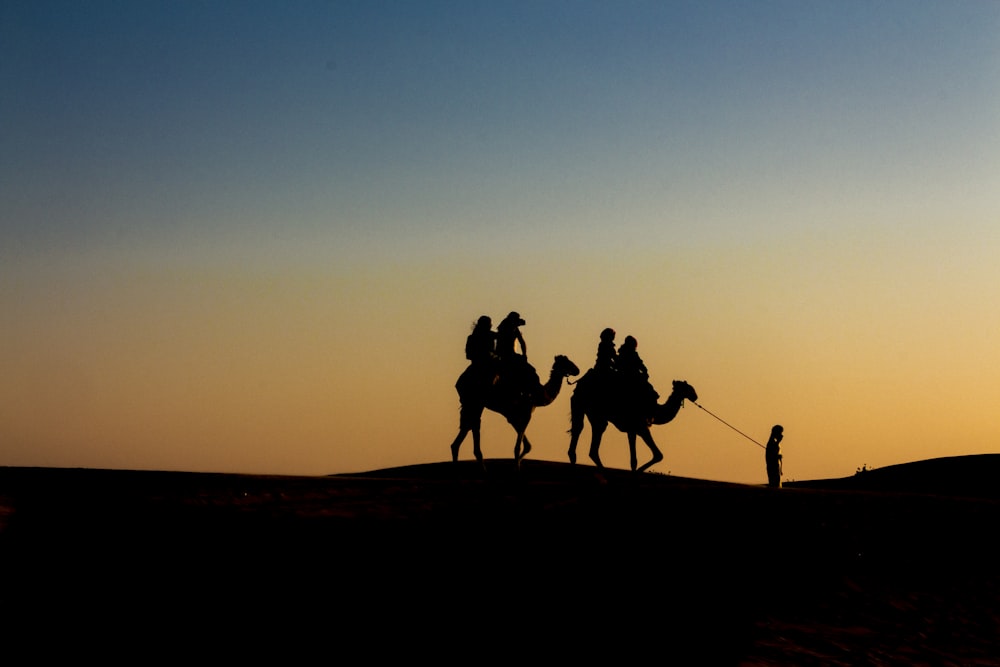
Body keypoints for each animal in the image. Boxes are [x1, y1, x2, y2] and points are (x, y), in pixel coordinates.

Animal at [452, 358, 584, 468]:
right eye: (567, 362)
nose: (577, 370)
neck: (540, 393)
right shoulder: (526, 412)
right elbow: (518, 446)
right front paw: (517, 466)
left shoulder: (512, 415)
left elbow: (527, 445)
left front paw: (518, 463)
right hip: (476, 401)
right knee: (473, 425)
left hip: (473, 404)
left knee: (465, 430)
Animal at [568, 376, 700, 474]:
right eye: (687, 388)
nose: (695, 396)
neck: (655, 410)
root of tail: (580, 384)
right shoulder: (641, 427)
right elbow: (658, 455)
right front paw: (639, 470)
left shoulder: (632, 430)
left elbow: (633, 460)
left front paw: (636, 470)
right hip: (595, 412)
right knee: (593, 435)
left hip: (581, 406)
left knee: (579, 428)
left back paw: (574, 459)